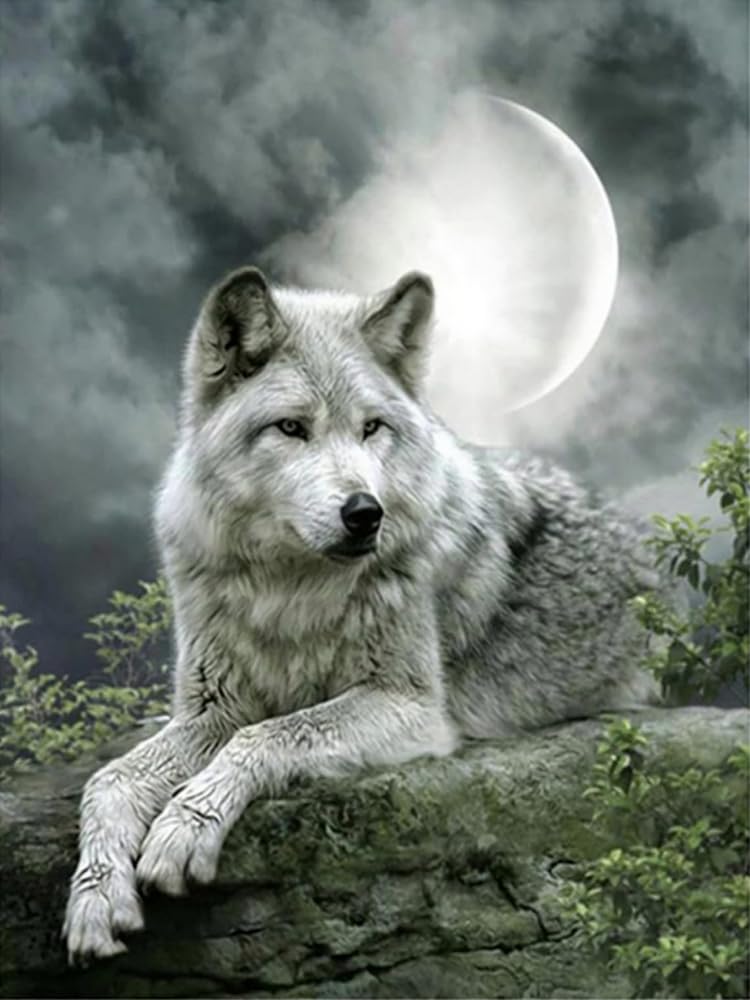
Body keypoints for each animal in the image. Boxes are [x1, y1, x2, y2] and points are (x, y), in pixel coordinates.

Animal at [63, 266, 661, 963]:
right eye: (291, 428)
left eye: (372, 428)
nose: (364, 513)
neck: (290, 590)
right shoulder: (212, 710)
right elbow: (108, 780)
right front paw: (95, 899)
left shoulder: (411, 707)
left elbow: (268, 735)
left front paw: (184, 828)